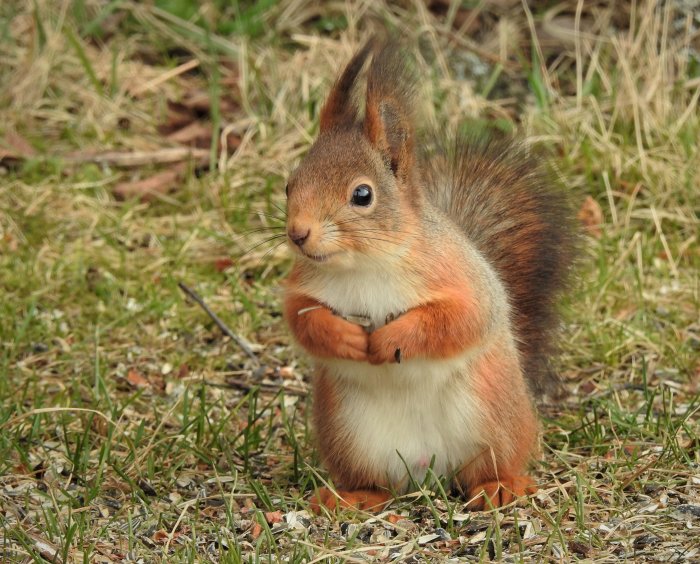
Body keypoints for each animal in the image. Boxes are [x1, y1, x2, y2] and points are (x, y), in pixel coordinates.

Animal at [278, 43, 576, 512]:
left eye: (362, 195)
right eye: (290, 185)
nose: (298, 233)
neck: (363, 264)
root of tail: (427, 471)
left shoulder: (460, 276)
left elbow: (460, 319)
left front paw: (393, 339)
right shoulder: (304, 284)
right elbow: (301, 318)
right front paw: (342, 337)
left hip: (494, 419)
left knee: (492, 465)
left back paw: (500, 486)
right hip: (348, 433)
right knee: (376, 483)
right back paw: (352, 496)